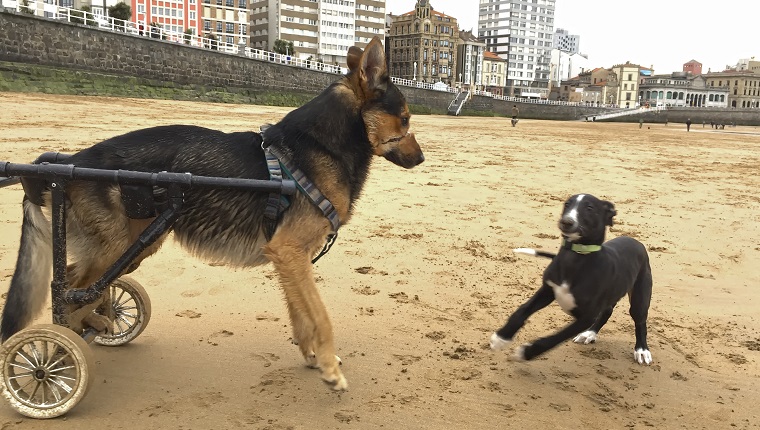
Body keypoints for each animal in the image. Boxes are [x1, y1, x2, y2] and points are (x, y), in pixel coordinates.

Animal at [0, 36, 424, 390]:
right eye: (405, 118)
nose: (421, 159)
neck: (322, 146)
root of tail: (69, 163)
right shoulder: (290, 253)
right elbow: (320, 315)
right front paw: (331, 369)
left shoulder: (290, 258)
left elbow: (300, 314)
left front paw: (313, 357)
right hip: (119, 244)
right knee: (67, 288)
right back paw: (57, 355)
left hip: (136, 244)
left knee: (79, 283)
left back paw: (94, 323)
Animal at [492, 195, 652, 366]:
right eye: (567, 204)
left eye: (589, 207)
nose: (566, 222)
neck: (576, 256)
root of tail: (637, 243)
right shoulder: (547, 290)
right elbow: (522, 310)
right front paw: (501, 337)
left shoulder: (586, 317)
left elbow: (555, 338)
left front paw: (527, 352)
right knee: (607, 311)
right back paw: (589, 334)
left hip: (640, 295)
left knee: (640, 321)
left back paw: (642, 350)